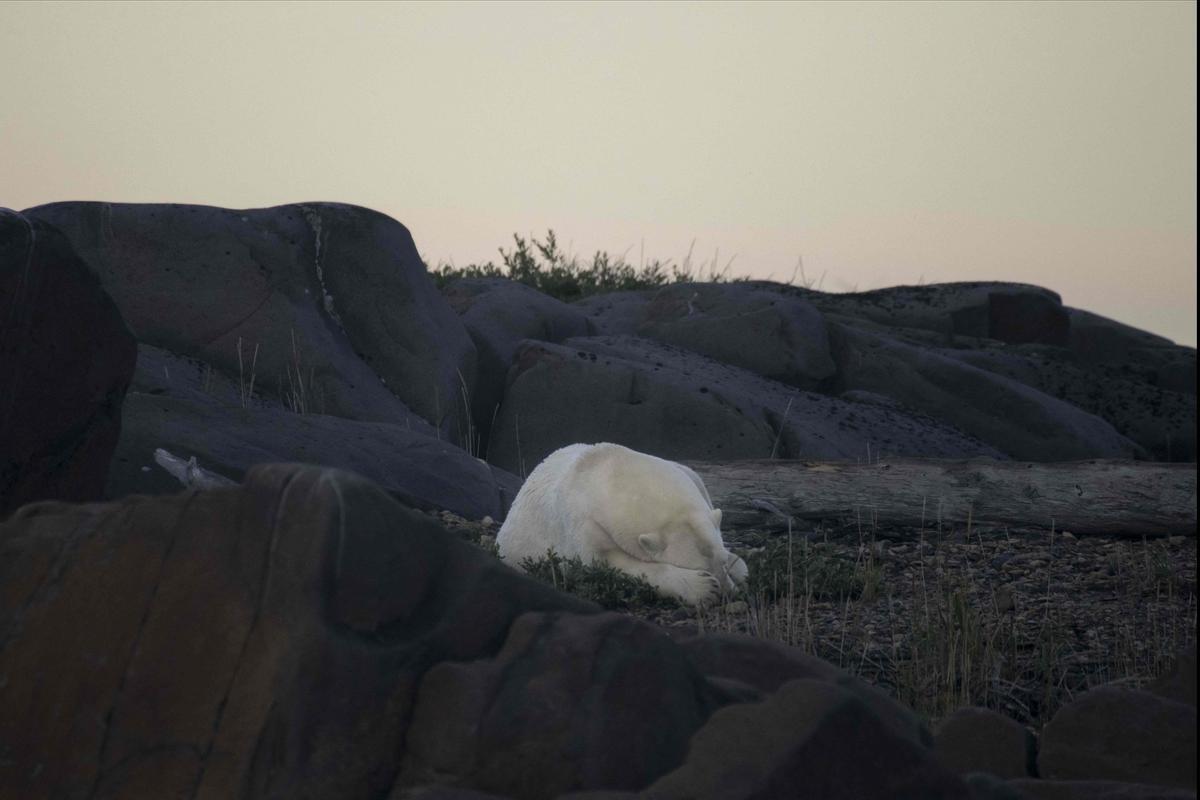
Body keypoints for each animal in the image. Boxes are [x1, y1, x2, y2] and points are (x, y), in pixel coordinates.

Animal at [499, 441, 748, 604]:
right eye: (697, 567)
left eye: (722, 562)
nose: (727, 593)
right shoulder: (583, 524)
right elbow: (602, 563)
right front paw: (704, 587)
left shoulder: (685, 473)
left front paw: (737, 567)